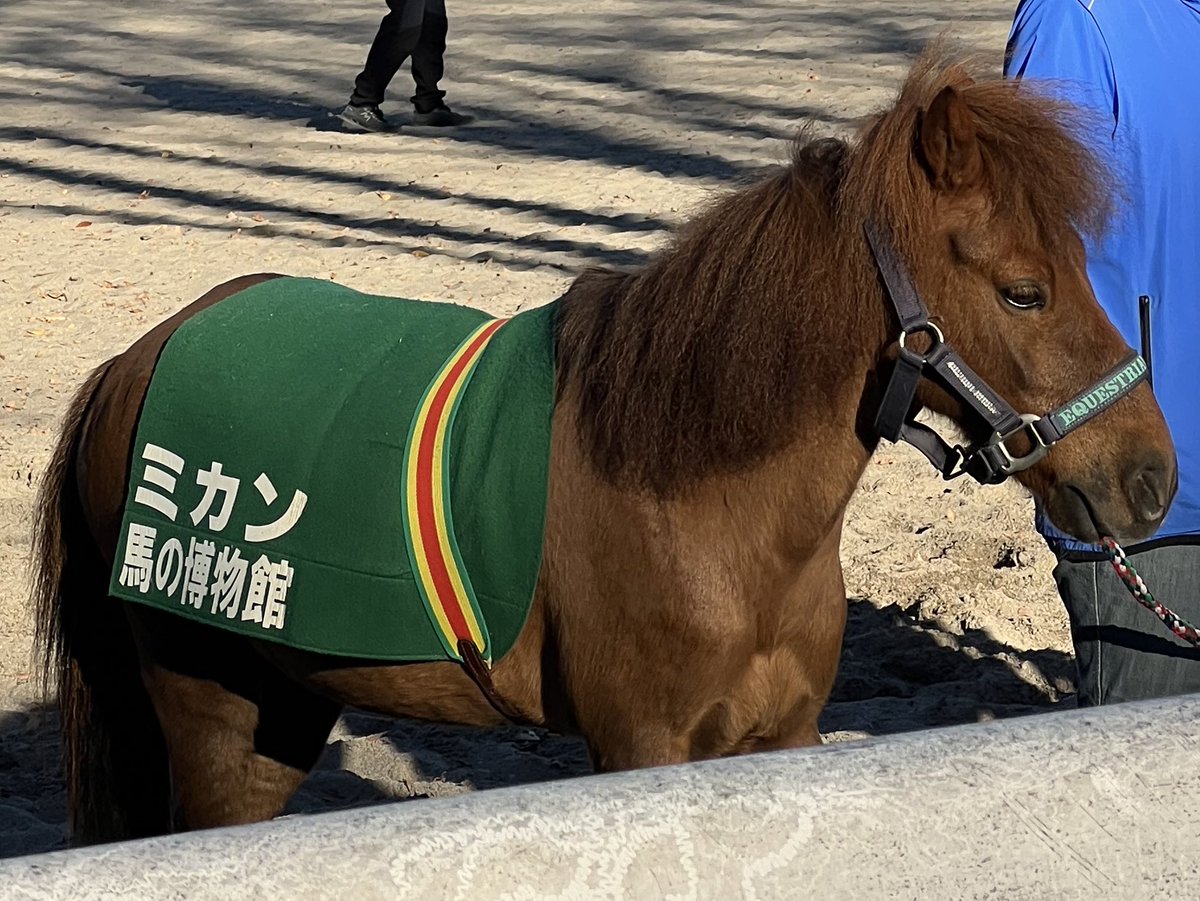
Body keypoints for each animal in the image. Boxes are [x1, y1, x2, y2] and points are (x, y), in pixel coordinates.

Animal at [33, 50, 1176, 845]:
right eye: (1024, 289)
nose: (1152, 479)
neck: (697, 495)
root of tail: (137, 357)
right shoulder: (639, 748)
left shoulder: (788, 739)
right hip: (218, 722)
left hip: (283, 711)